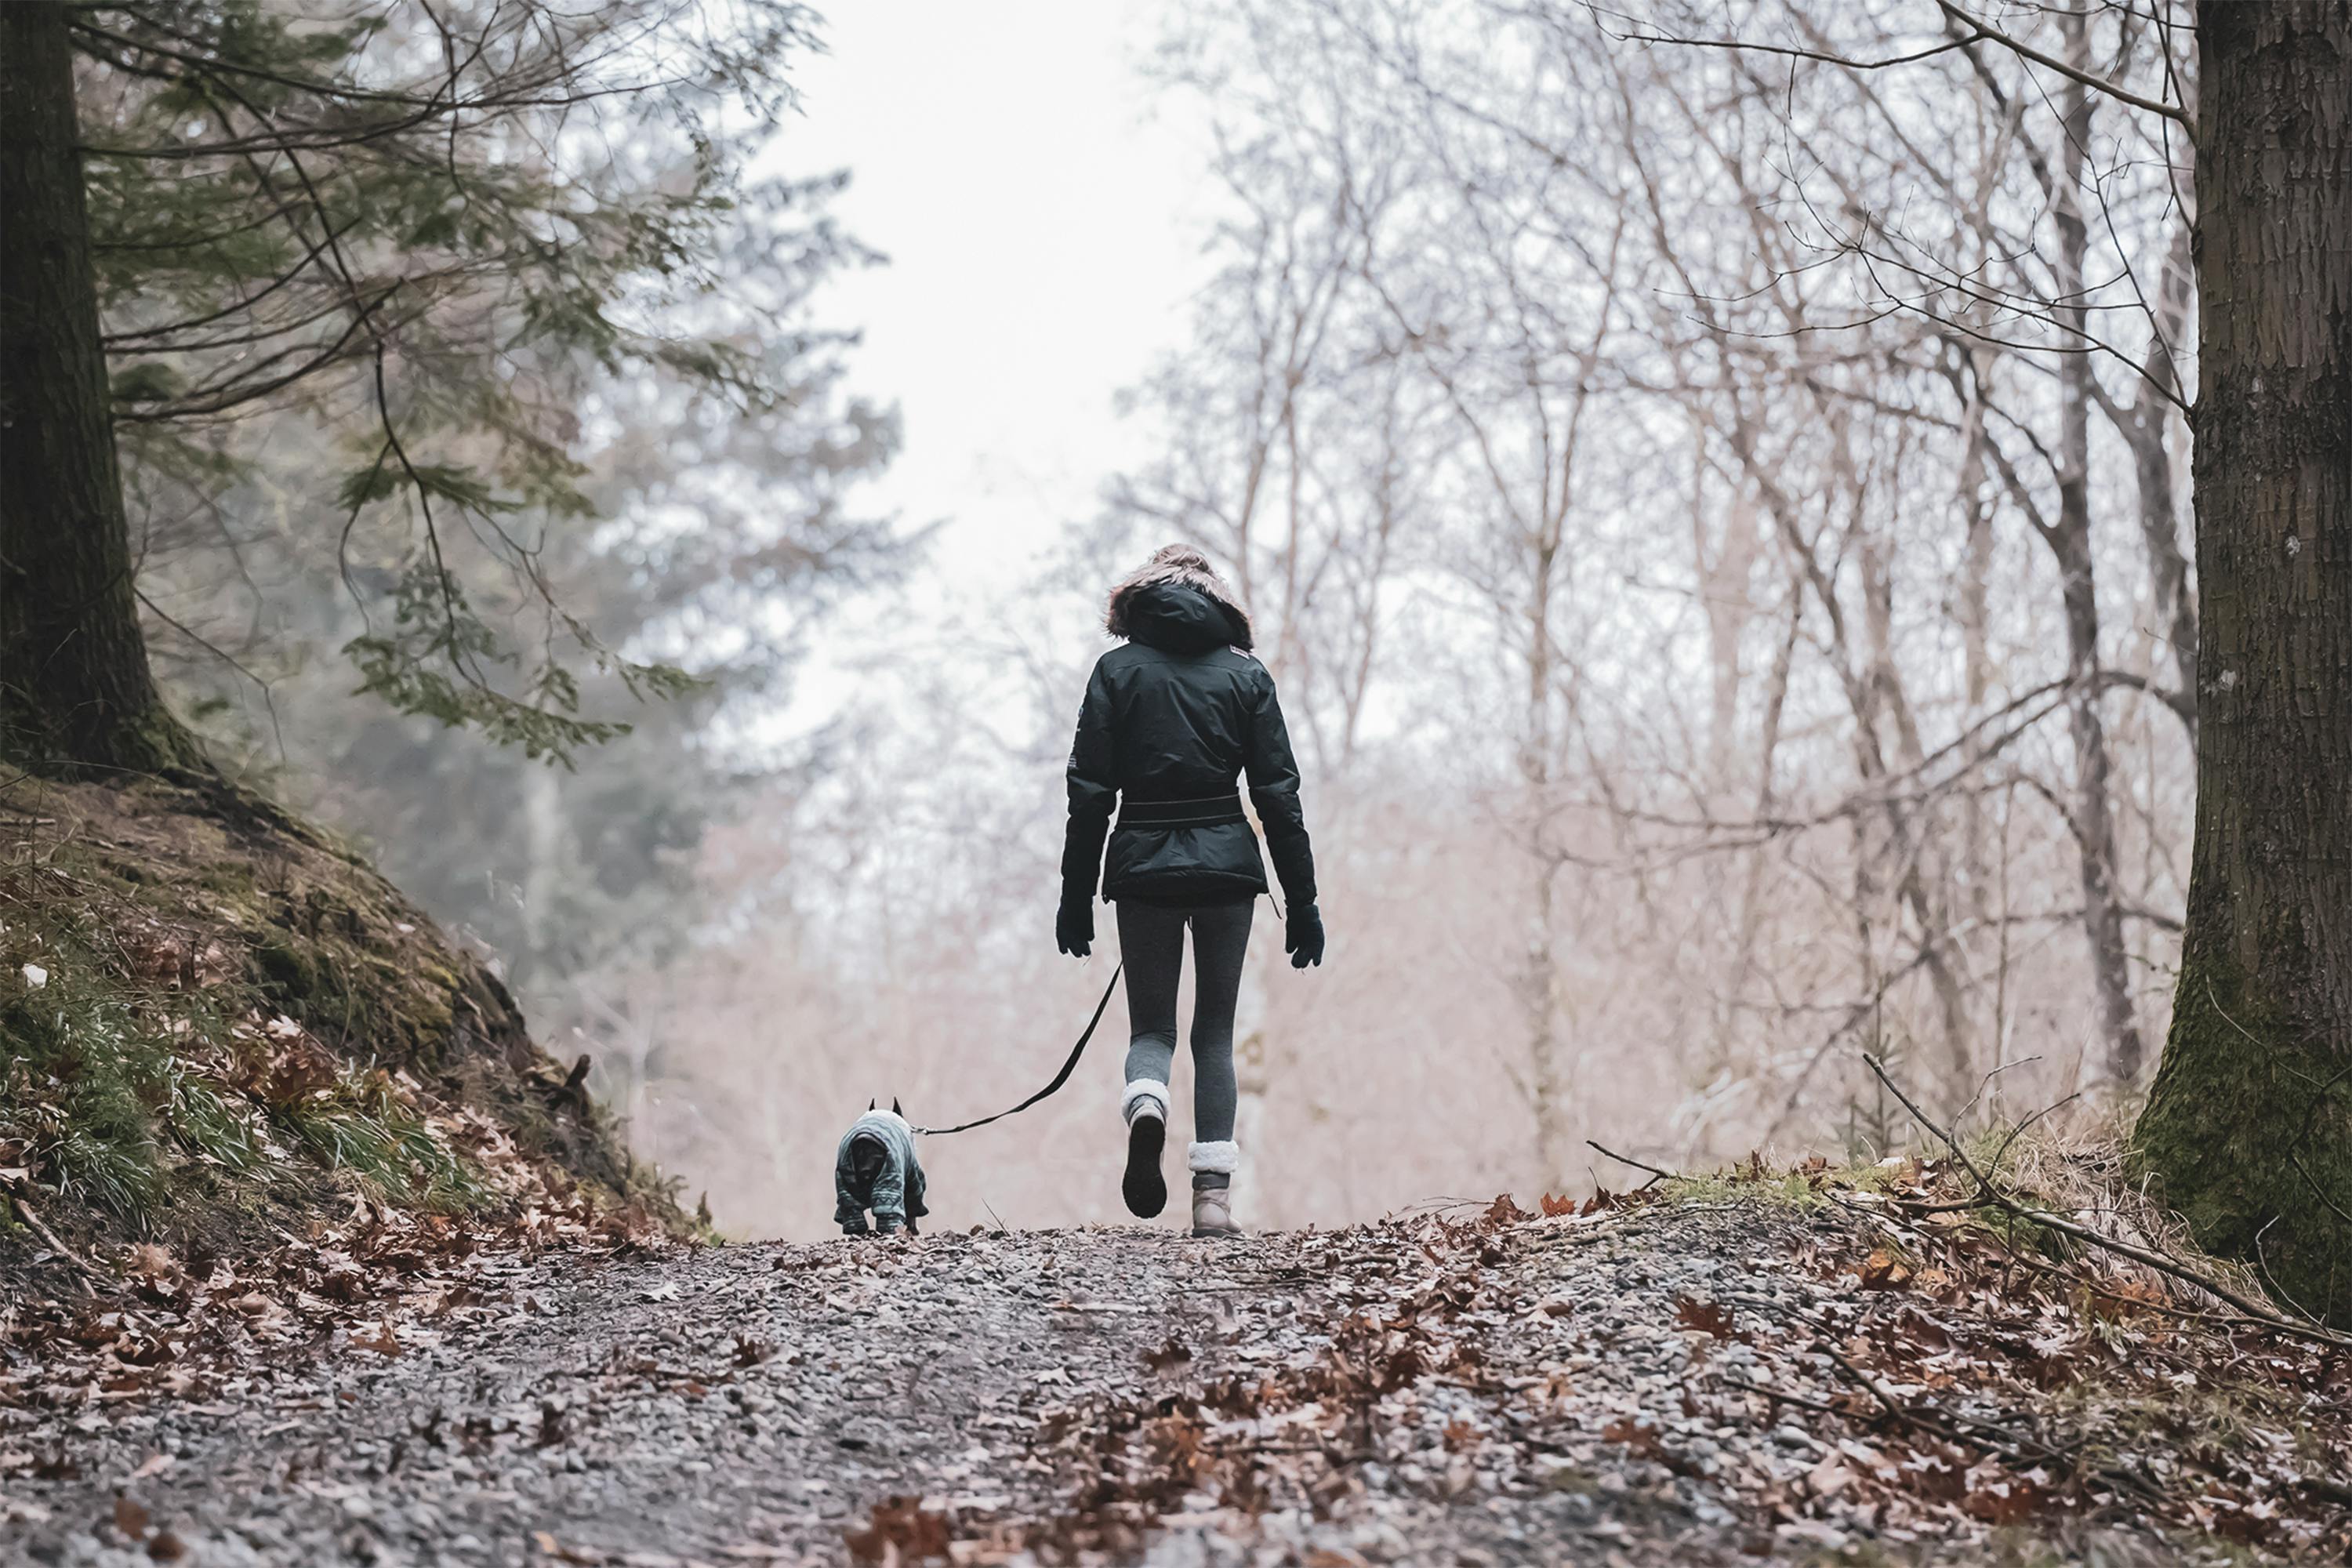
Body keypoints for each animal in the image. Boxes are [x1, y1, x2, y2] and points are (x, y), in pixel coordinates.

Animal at [837, 1105, 927, 1241]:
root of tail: (863, 1140)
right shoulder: (913, 1177)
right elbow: (913, 1206)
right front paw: (913, 1230)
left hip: (845, 1176)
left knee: (852, 1209)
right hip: (890, 1173)